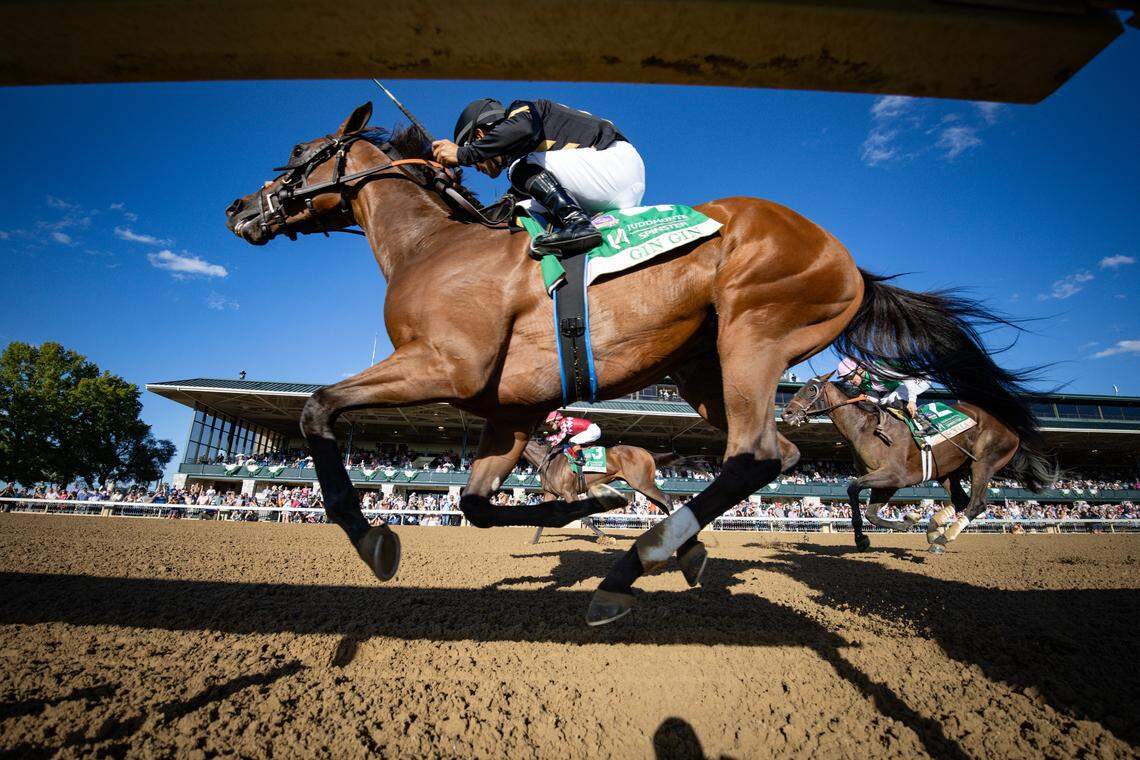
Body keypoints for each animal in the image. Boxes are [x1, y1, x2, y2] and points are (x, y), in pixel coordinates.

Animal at [782, 374, 1055, 552]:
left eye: (811, 389)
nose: (786, 413)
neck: (865, 430)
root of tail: (1012, 427)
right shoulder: (886, 483)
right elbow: (870, 512)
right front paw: (904, 522)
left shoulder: (894, 476)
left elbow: (852, 489)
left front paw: (871, 535)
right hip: (948, 470)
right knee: (961, 500)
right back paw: (934, 530)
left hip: (984, 463)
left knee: (976, 504)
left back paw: (943, 539)